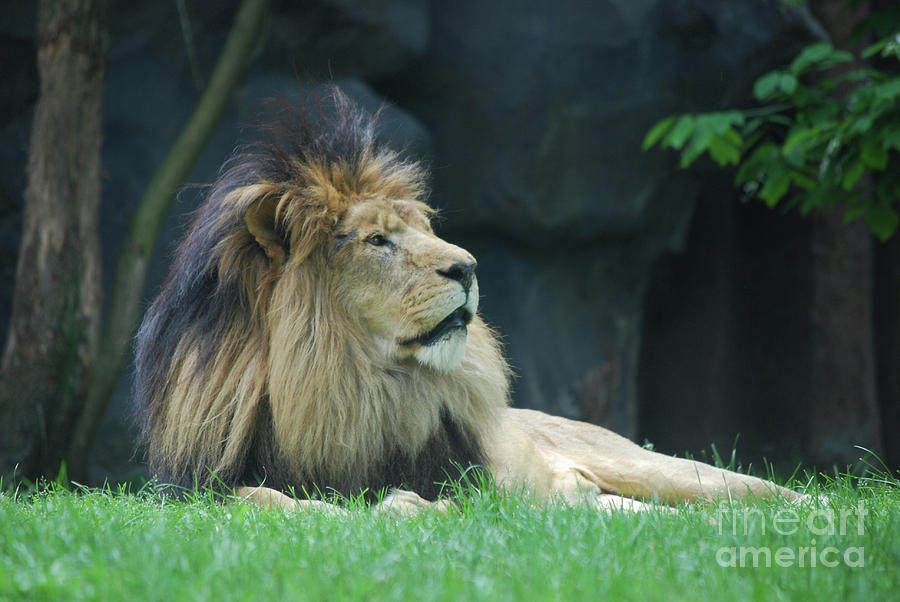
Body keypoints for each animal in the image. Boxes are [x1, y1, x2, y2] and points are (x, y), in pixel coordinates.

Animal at [137, 88, 804, 510]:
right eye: (378, 240)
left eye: (423, 230)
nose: (469, 267)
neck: (351, 383)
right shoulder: (195, 492)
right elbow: (265, 501)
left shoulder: (466, 486)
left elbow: (408, 504)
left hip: (664, 471)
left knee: (770, 493)